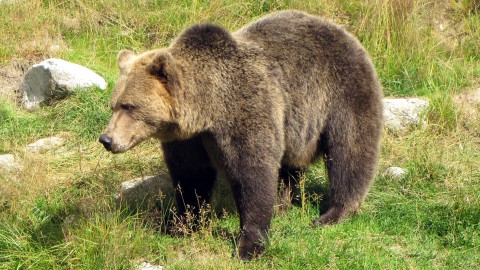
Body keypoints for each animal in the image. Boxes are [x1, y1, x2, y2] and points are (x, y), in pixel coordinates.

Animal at [100, 10, 382, 260]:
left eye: (128, 106)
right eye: (114, 105)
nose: (106, 139)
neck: (207, 108)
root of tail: (343, 32)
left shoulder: (245, 110)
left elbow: (252, 173)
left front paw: (249, 245)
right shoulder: (190, 140)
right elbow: (191, 176)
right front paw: (182, 224)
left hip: (342, 90)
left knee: (350, 150)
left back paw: (334, 213)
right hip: (294, 122)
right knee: (289, 164)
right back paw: (283, 204)